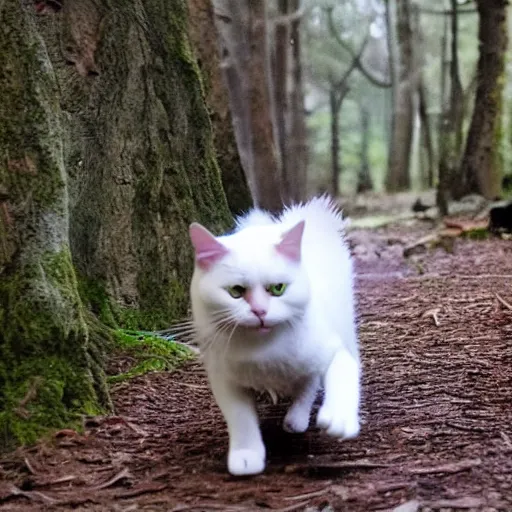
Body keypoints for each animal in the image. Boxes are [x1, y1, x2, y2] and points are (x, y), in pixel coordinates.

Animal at [188, 195, 360, 476]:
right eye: (236, 291)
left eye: (278, 289)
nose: (260, 311)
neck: (264, 351)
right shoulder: (224, 379)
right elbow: (241, 420)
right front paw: (246, 457)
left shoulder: (331, 349)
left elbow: (341, 374)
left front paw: (339, 418)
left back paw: (296, 420)